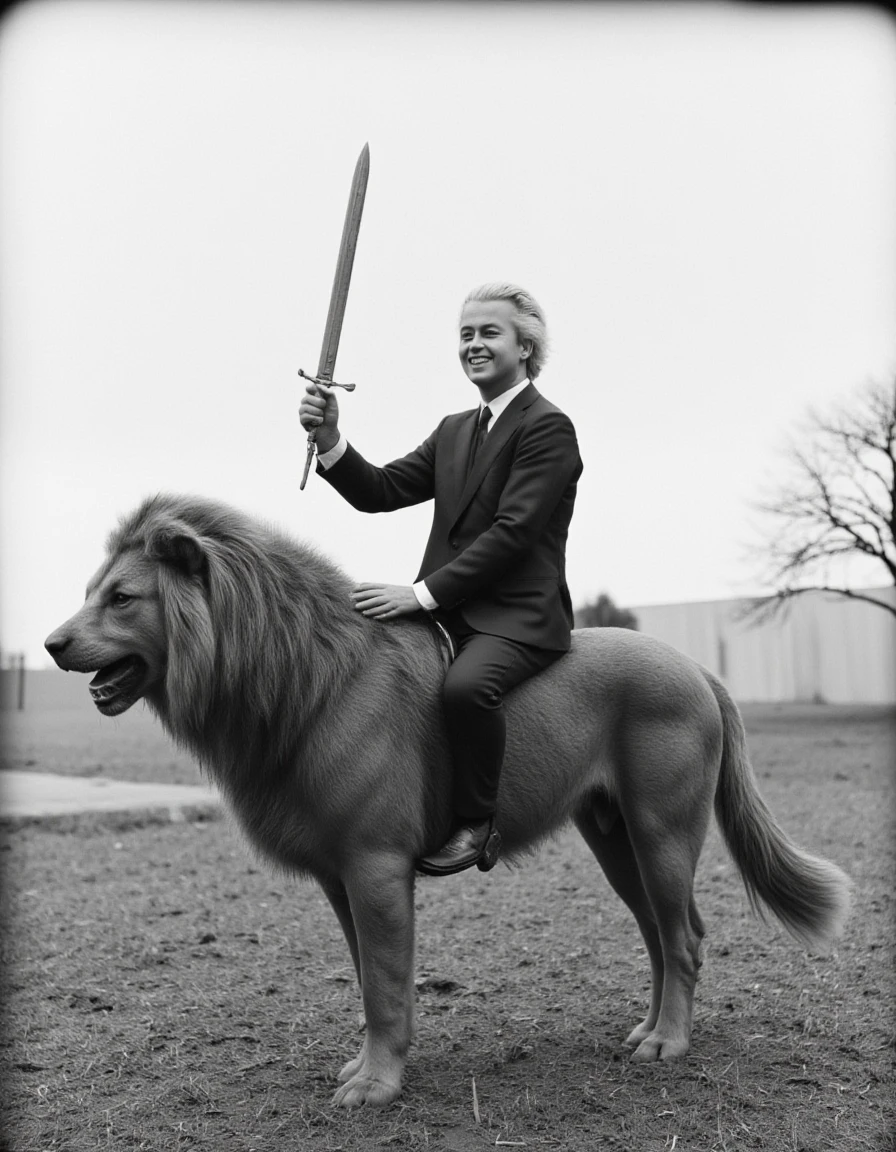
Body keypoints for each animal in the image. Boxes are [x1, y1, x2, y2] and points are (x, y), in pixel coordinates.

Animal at [45, 493, 847, 1105]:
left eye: (122, 598)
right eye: (90, 592)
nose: (52, 645)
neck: (313, 679)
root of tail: (697, 670)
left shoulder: (375, 867)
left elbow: (382, 983)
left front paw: (375, 1087)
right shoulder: (341, 879)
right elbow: (375, 978)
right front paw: (374, 1067)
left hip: (663, 833)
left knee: (683, 941)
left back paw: (670, 1044)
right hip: (617, 841)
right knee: (661, 938)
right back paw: (648, 1031)